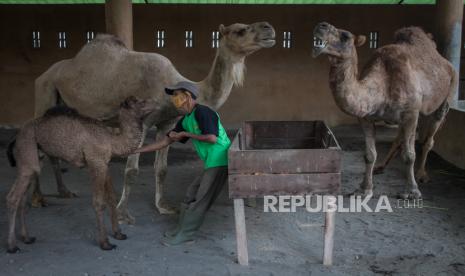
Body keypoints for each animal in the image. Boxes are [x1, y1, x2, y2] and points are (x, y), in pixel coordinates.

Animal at [6, 96, 156, 252]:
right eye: (139, 102)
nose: (155, 102)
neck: (112, 141)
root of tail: (16, 137)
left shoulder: (105, 164)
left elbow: (111, 198)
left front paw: (119, 234)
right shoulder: (95, 162)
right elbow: (98, 202)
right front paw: (105, 243)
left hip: (35, 156)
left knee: (22, 197)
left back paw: (27, 238)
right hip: (27, 149)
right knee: (13, 197)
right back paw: (12, 246)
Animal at [35, 21, 276, 222]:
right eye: (240, 30)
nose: (269, 29)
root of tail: (43, 75)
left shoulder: (167, 124)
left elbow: (162, 168)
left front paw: (164, 206)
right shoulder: (141, 123)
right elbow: (132, 171)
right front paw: (122, 213)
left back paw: (63, 192)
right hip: (45, 93)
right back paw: (38, 199)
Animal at [314, 22, 454, 198]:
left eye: (345, 36)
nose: (321, 26)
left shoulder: (411, 114)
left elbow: (409, 155)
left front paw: (412, 191)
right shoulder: (366, 118)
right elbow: (369, 155)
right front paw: (364, 189)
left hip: (446, 96)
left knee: (429, 138)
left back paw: (422, 175)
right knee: (399, 139)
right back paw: (381, 167)